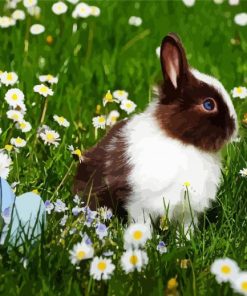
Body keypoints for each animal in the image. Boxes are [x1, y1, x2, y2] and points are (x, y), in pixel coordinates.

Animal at [74, 32, 238, 235]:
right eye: (209, 104)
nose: (234, 128)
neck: (181, 141)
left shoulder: (188, 212)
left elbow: (185, 229)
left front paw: (184, 240)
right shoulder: (139, 203)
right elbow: (141, 223)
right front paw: (142, 238)